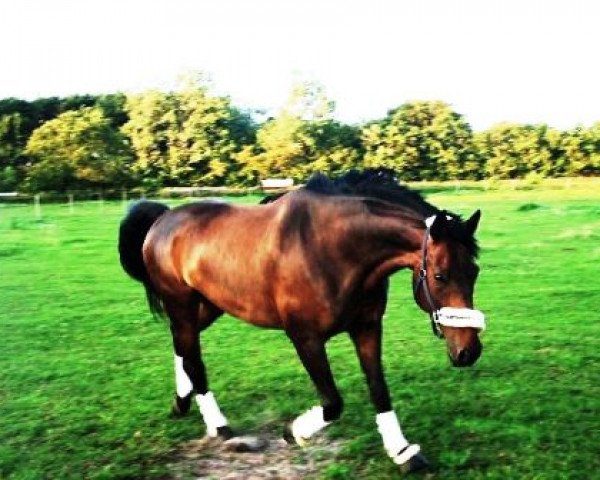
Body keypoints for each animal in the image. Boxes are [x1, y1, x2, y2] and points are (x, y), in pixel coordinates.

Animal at [118, 168, 488, 472]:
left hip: (209, 304)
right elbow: (332, 403)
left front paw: (402, 452)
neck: (333, 249)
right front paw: (293, 433)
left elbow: (379, 390)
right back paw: (219, 426)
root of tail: (164, 219)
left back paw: (182, 403)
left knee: (183, 346)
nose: (468, 352)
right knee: (192, 357)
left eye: (474, 272)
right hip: (181, 302)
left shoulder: (367, 328)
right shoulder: (305, 338)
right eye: (440, 276)